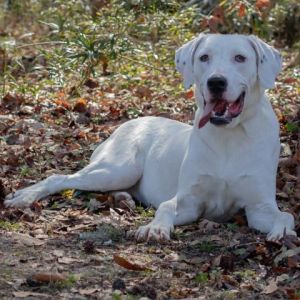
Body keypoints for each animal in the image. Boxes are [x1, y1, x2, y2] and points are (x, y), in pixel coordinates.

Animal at [4, 34, 296, 241]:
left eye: (240, 58)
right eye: (204, 57)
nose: (216, 82)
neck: (230, 135)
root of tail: (128, 123)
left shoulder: (259, 208)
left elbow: (287, 216)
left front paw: (282, 233)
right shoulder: (188, 202)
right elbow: (165, 207)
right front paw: (155, 228)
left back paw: (123, 198)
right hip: (119, 168)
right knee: (59, 178)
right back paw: (24, 197)